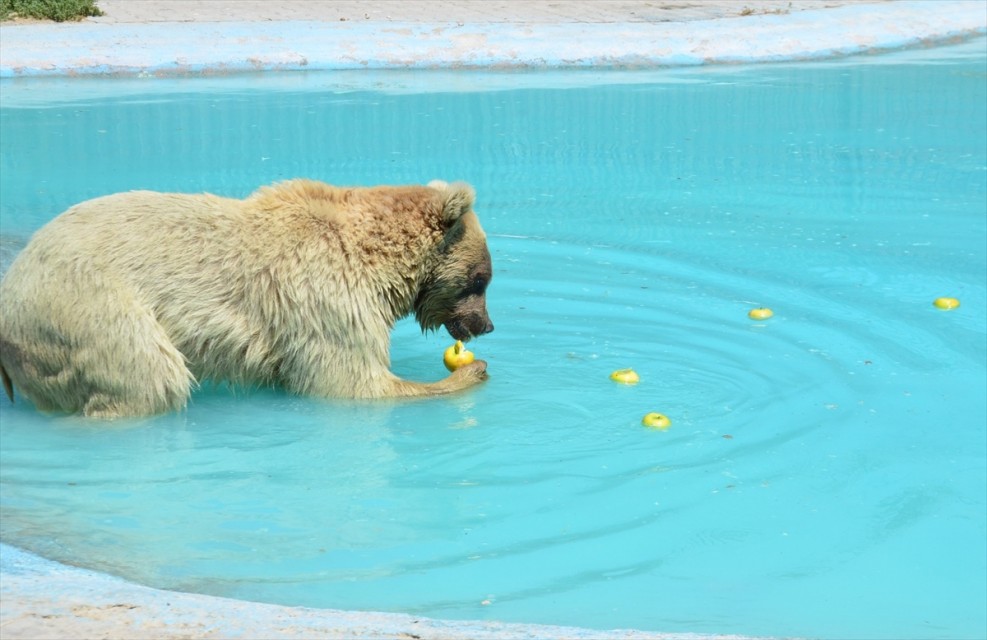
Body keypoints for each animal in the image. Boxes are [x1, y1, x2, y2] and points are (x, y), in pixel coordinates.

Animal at [0, 179, 494, 420]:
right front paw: (466, 376)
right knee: (147, 375)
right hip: (88, 305)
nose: (486, 325)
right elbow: (352, 381)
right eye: (481, 279)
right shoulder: (325, 297)